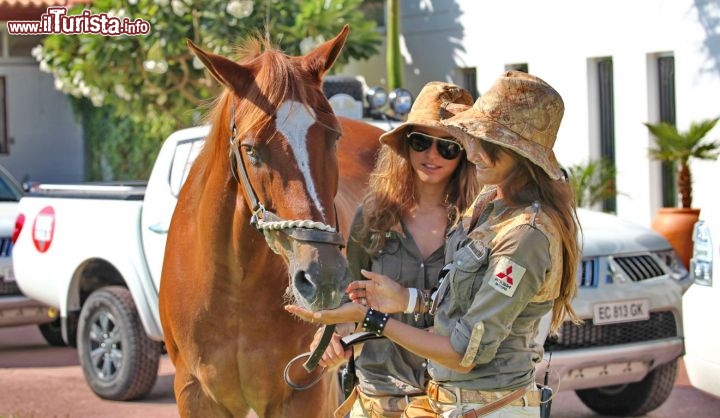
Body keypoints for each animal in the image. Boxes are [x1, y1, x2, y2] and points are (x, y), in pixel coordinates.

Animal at [158, 27, 382, 418]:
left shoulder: (302, 394)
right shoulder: (195, 394)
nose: (323, 277)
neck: (234, 289)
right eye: (251, 150)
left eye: (334, 137)